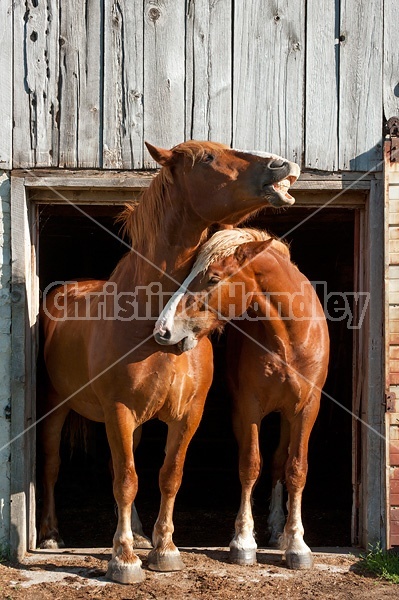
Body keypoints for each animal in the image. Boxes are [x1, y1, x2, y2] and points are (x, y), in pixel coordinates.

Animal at [39, 139, 300, 580]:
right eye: (209, 157)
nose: (283, 164)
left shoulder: (186, 415)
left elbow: (168, 476)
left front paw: (164, 549)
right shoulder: (119, 411)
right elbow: (127, 480)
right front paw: (123, 559)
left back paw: (140, 533)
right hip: (58, 407)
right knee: (54, 465)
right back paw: (52, 535)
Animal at [155, 227, 330, 568]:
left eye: (213, 278)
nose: (162, 330)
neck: (288, 339)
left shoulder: (306, 410)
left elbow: (296, 469)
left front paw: (297, 544)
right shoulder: (248, 409)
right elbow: (250, 465)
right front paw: (243, 541)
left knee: (280, 462)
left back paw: (280, 531)